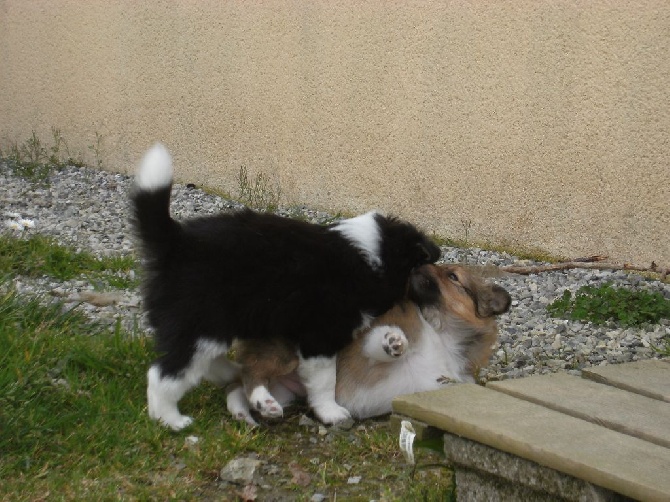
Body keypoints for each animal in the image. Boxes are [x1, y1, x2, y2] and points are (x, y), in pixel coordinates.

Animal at [131, 143, 440, 430]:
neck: (371, 254)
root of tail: (176, 243)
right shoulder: (321, 334)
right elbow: (325, 380)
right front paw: (331, 413)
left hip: (214, 327)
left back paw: (230, 374)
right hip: (199, 323)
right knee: (164, 373)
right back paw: (171, 420)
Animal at [228, 262, 512, 424]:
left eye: (452, 276)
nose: (417, 265)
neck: (441, 333)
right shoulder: (367, 344)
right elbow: (382, 341)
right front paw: (393, 341)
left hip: (287, 390)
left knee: (236, 387)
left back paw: (250, 411)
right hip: (288, 355)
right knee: (250, 371)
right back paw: (262, 401)